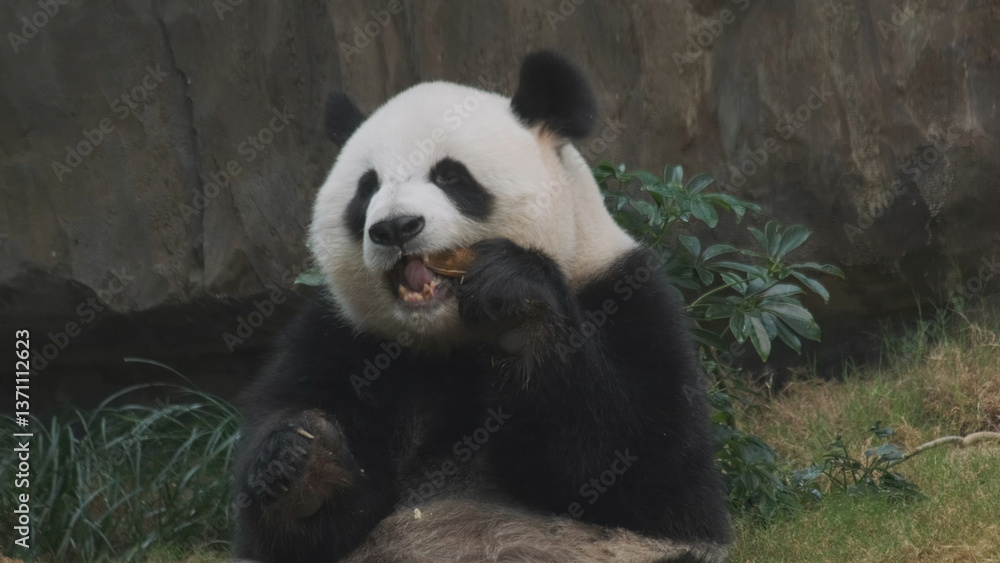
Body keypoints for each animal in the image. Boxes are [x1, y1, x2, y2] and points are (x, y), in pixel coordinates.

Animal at [233, 51, 731, 562]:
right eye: (367, 187)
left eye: (450, 176)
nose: (395, 227)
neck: (447, 340)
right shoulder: (337, 338)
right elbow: (295, 533)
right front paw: (302, 465)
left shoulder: (630, 299)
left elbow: (654, 474)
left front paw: (516, 310)